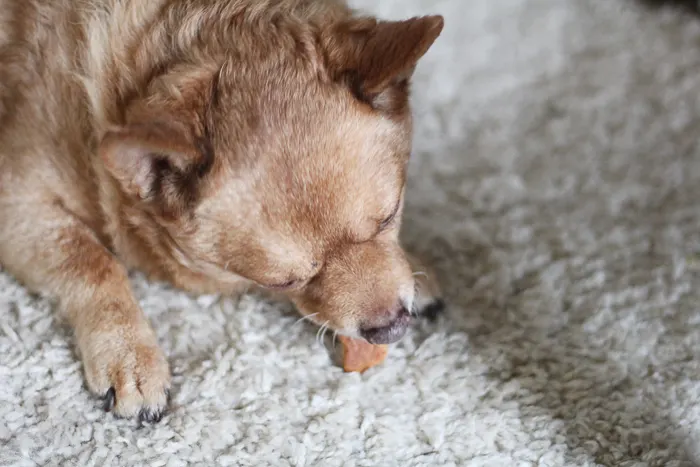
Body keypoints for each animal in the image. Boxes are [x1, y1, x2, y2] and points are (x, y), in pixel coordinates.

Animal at [0, 0, 446, 424]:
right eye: (283, 282)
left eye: (390, 216)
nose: (391, 326)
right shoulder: (16, 201)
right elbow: (93, 261)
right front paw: (128, 353)